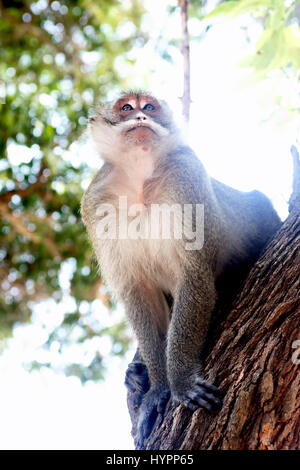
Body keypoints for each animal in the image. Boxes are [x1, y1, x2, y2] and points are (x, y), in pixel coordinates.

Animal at [80, 90, 282, 446]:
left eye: (149, 107)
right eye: (126, 108)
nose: (142, 117)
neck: (139, 181)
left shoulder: (186, 174)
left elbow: (194, 279)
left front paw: (180, 379)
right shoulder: (95, 203)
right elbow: (139, 294)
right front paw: (158, 389)